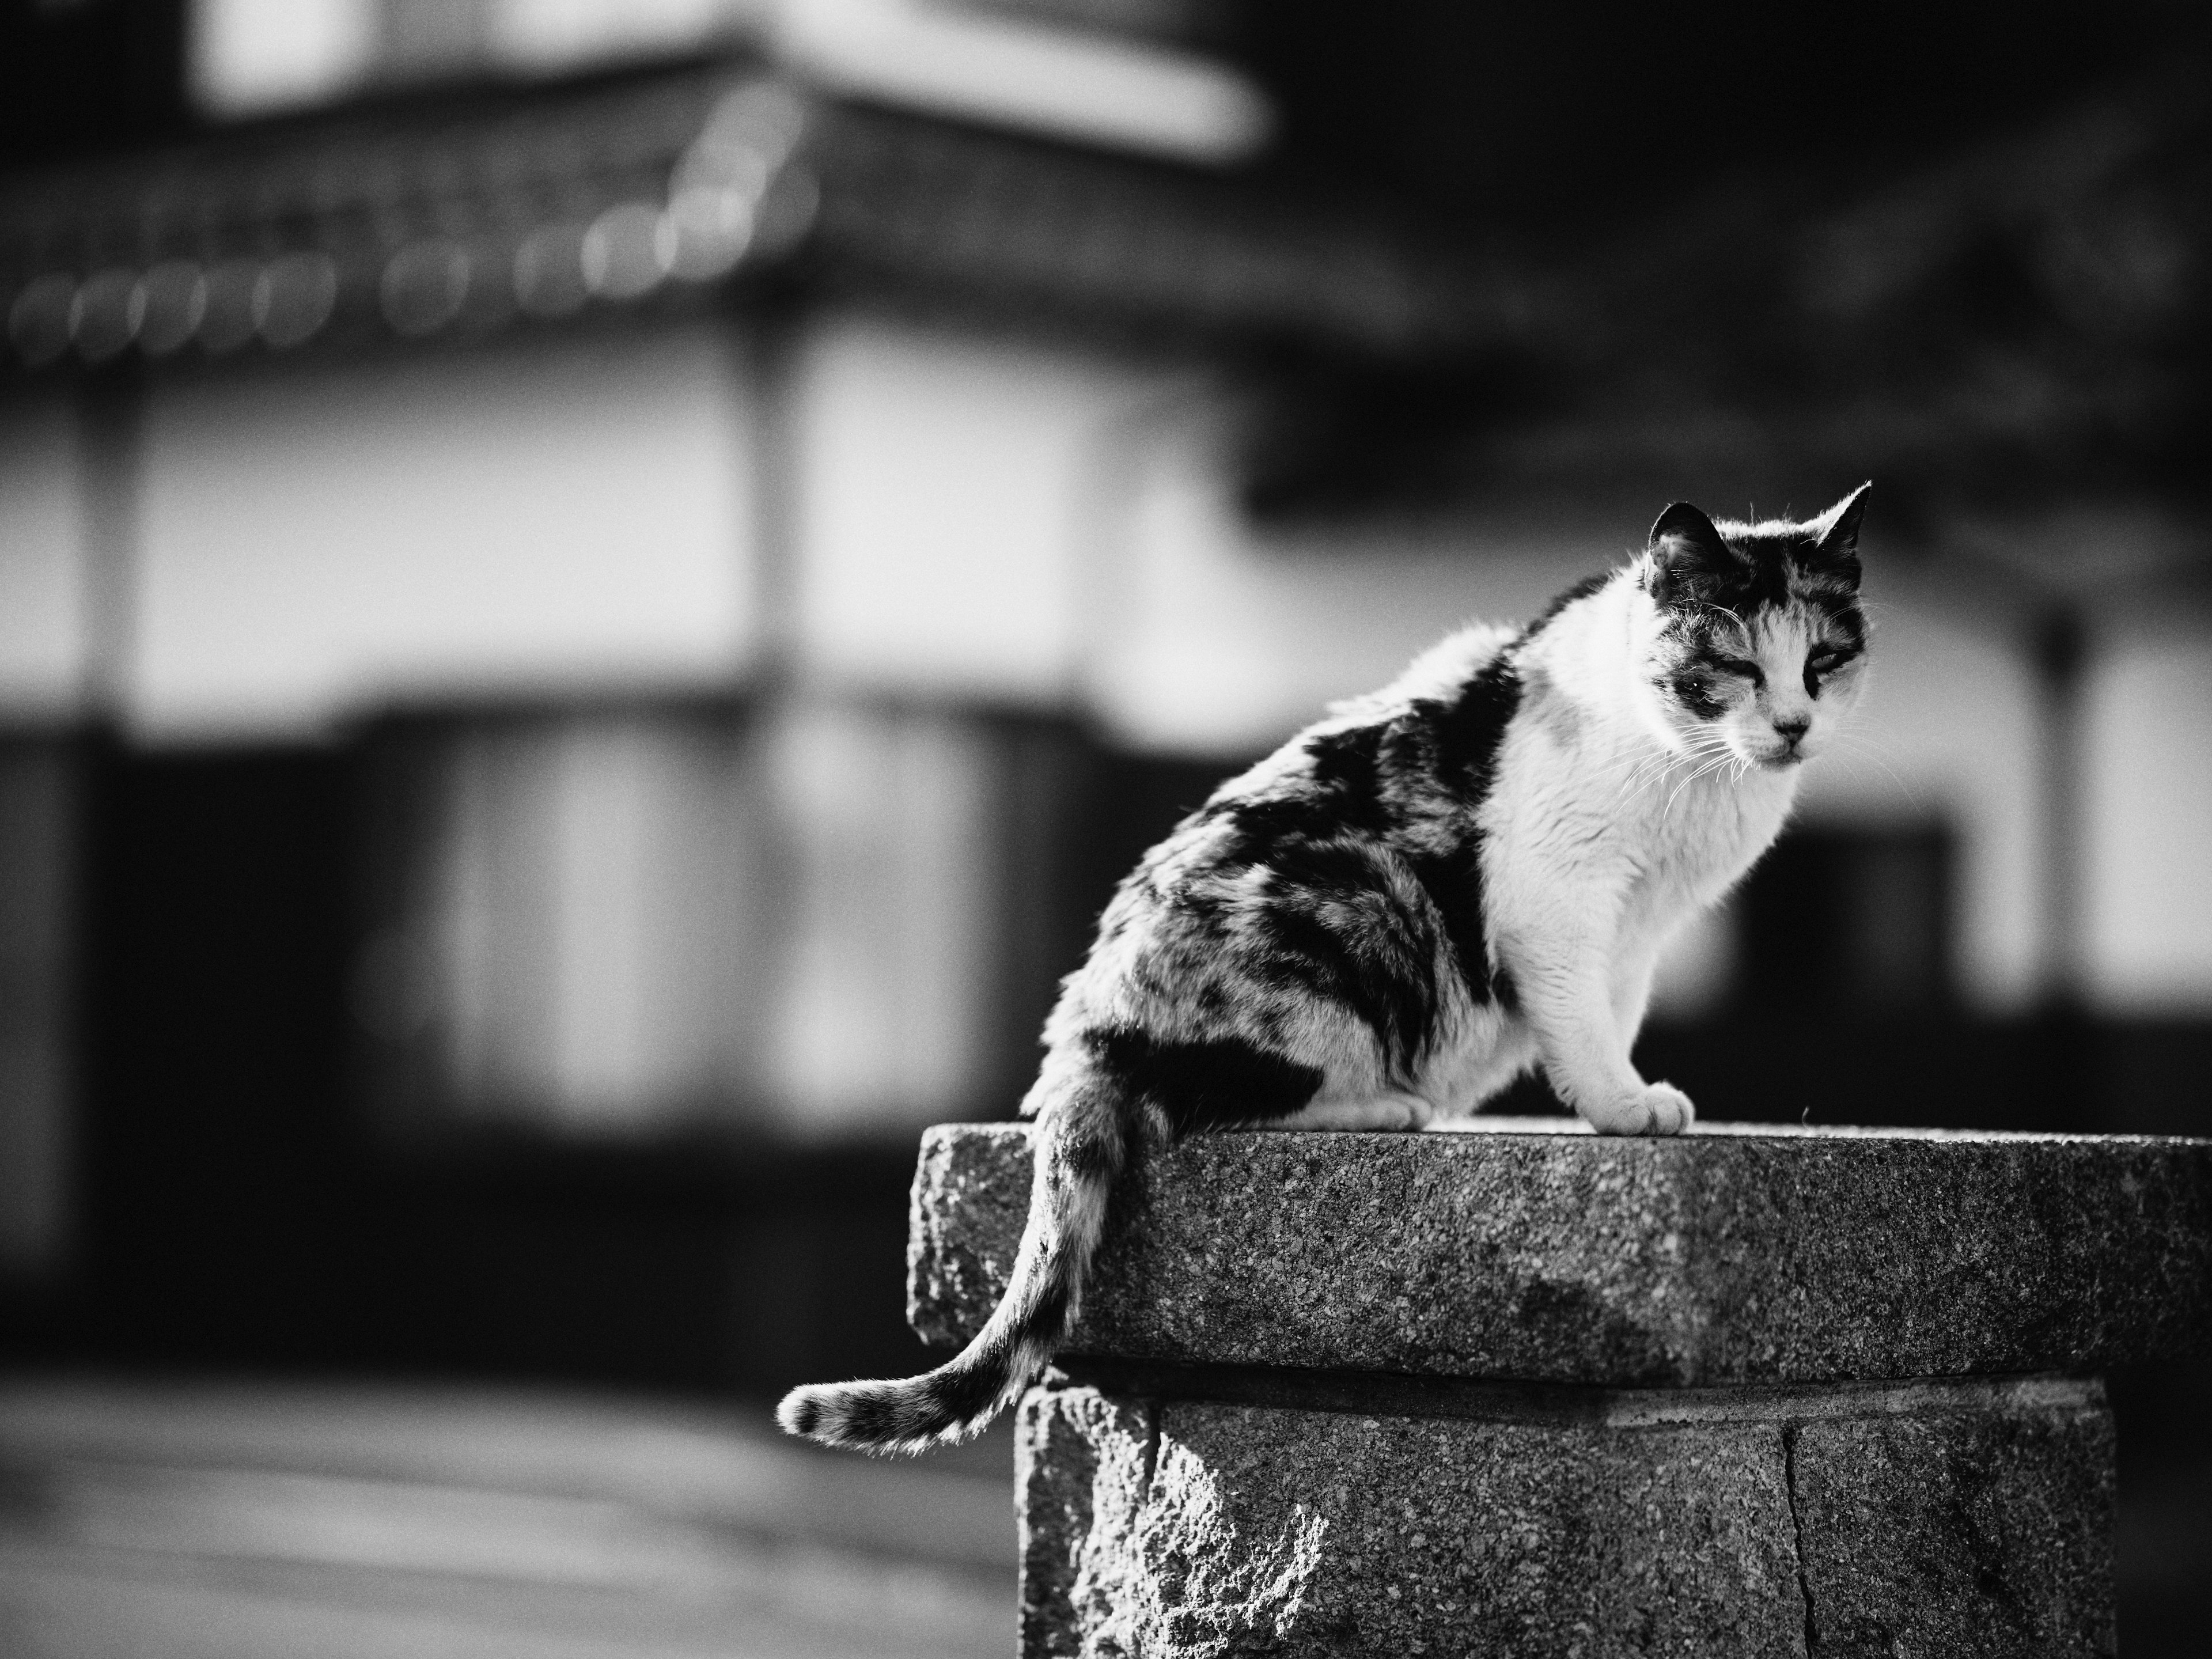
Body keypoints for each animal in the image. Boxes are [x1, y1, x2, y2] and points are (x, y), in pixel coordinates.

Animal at [778, 480, 1866, 1451]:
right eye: (1732, 662)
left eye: (1823, 660)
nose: (1793, 726)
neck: (1695, 774)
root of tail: (1081, 1040)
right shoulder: (1556, 898)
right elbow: (1582, 1020)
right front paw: (1624, 1106)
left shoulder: (1640, 930)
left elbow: (1617, 1010)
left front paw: (1629, 1093)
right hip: (1352, 904)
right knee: (1203, 1105)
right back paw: (1389, 1105)